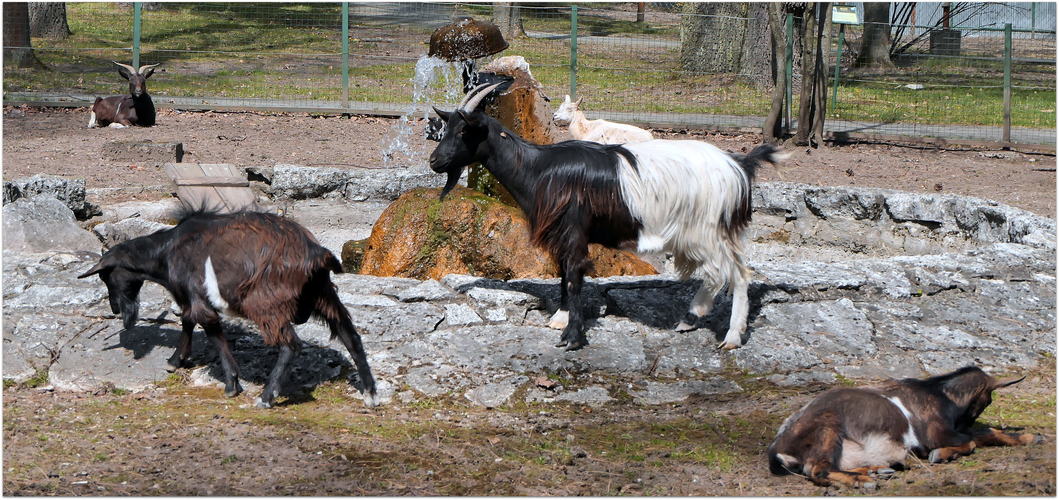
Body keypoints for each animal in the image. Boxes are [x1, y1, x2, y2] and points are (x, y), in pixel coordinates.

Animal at [78, 208, 377, 408]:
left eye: (106, 276)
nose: (116, 309)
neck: (166, 252)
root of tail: (317, 254)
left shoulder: (200, 300)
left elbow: (211, 332)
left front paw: (232, 384)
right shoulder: (192, 298)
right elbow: (188, 321)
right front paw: (176, 360)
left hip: (264, 304)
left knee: (290, 344)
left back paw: (266, 397)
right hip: (324, 295)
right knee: (351, 336)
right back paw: (371, 394)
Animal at [425, 83, 783, 351]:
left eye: (465, 132)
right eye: (445, 128)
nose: (434, 161)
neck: (538, 169)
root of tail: (738, 166)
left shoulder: (573, 229)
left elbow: (573, 275)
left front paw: (571, 336)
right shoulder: (564, 234)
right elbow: (563, 274)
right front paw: (560, 317)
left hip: (709, 229)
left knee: (737, 275)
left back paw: (731, 337)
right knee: (718, 274)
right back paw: (689, 318)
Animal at [766, 364, 1046, 487]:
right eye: (987, 400)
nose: (966, 419)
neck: (939, 394)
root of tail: (778, 448)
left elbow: (984, 433)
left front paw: (1031, 438)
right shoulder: (936, 434)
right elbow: (972, 441)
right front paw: (942, 455)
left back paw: (879, 470)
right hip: (828, 427)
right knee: (817, 469)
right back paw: (864, 480)